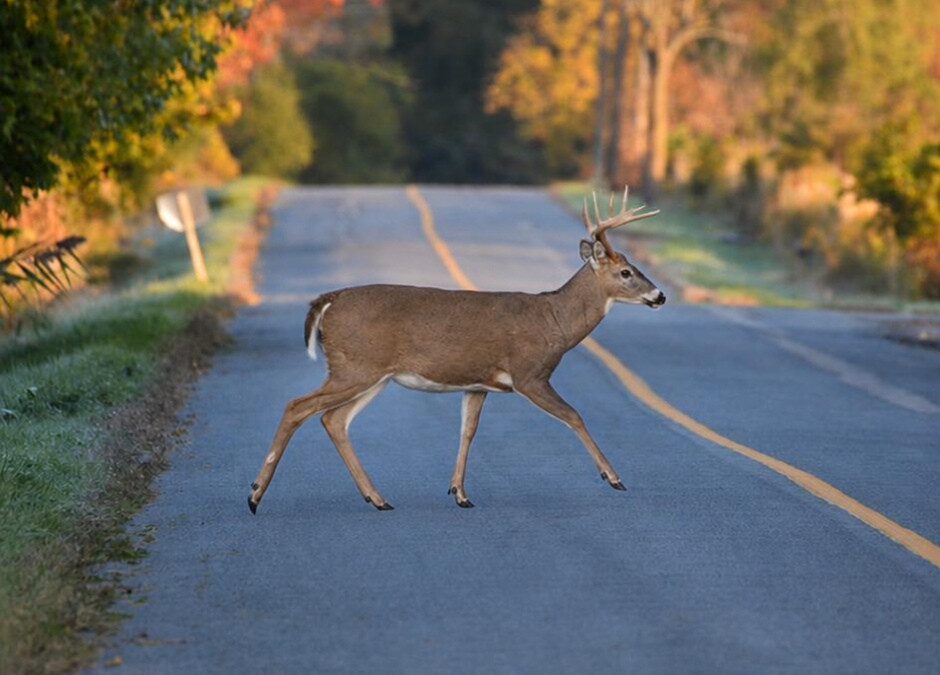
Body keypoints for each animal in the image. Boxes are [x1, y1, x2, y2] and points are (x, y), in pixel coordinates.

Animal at [248, 187, 665, 513]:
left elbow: (468, 432)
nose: (660, 295)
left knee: (333, 420)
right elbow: (574, 416)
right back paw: (255, 495)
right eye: (627, 272)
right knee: (298, 407)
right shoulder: (529, 374)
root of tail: (328, 300)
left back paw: (377, 498)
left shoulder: (478, 383)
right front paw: (613, 477)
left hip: (370, 374)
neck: (555, 322)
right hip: (356, 367)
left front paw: (460, 493)